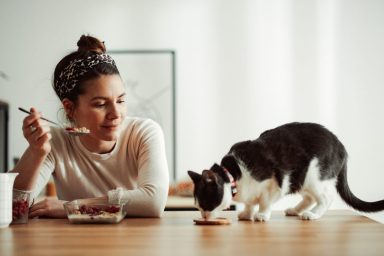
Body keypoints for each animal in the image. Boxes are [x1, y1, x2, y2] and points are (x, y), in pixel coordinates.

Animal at [188, 121, 384, 220]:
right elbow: (250, 202)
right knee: (309, 197)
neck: (235, 174)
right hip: (301, 179)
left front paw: (261, 215)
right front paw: (247, 213)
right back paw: (295, 210)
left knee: (326, 197)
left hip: (313, 176)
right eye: (197, 207)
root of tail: (341, 146)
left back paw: (313, 214)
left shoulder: (274, 184)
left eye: (205, 203)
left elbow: (265, 201)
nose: (203, 216)